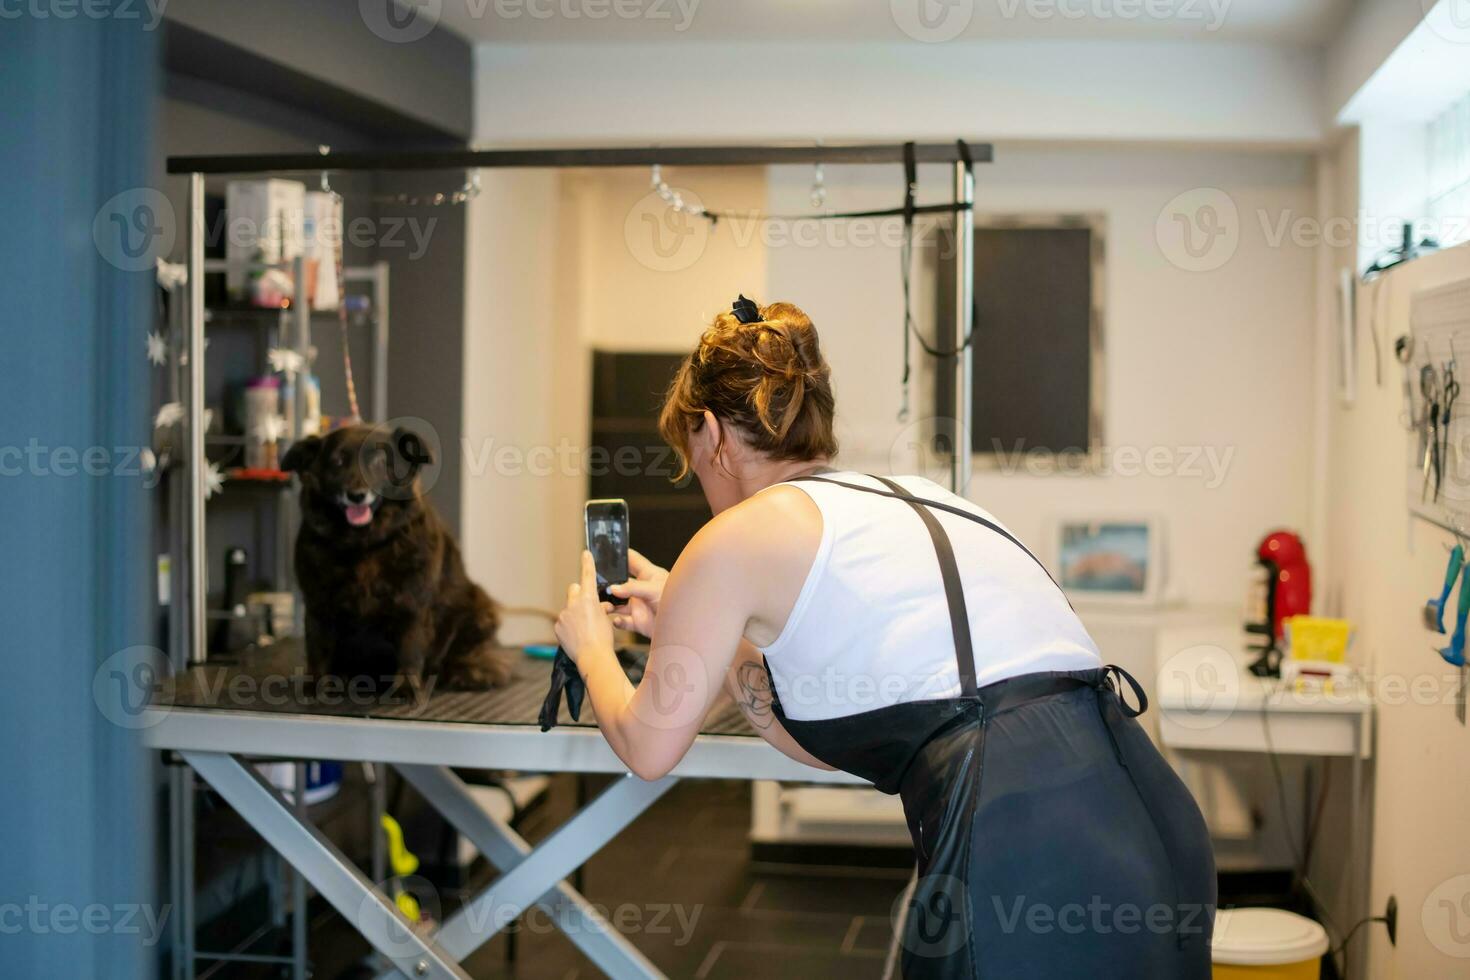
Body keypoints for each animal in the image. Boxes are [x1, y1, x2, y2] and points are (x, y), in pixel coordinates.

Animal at [280, 423, 511, 696]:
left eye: (379, 461)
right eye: (337, 462)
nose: (356, 495)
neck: (363, 545)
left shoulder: (413, 603)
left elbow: (410, 648)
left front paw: (406, 687)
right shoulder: (318, 604)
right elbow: (317, 648)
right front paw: (317, 684)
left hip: (479, 606)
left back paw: (466, 672)